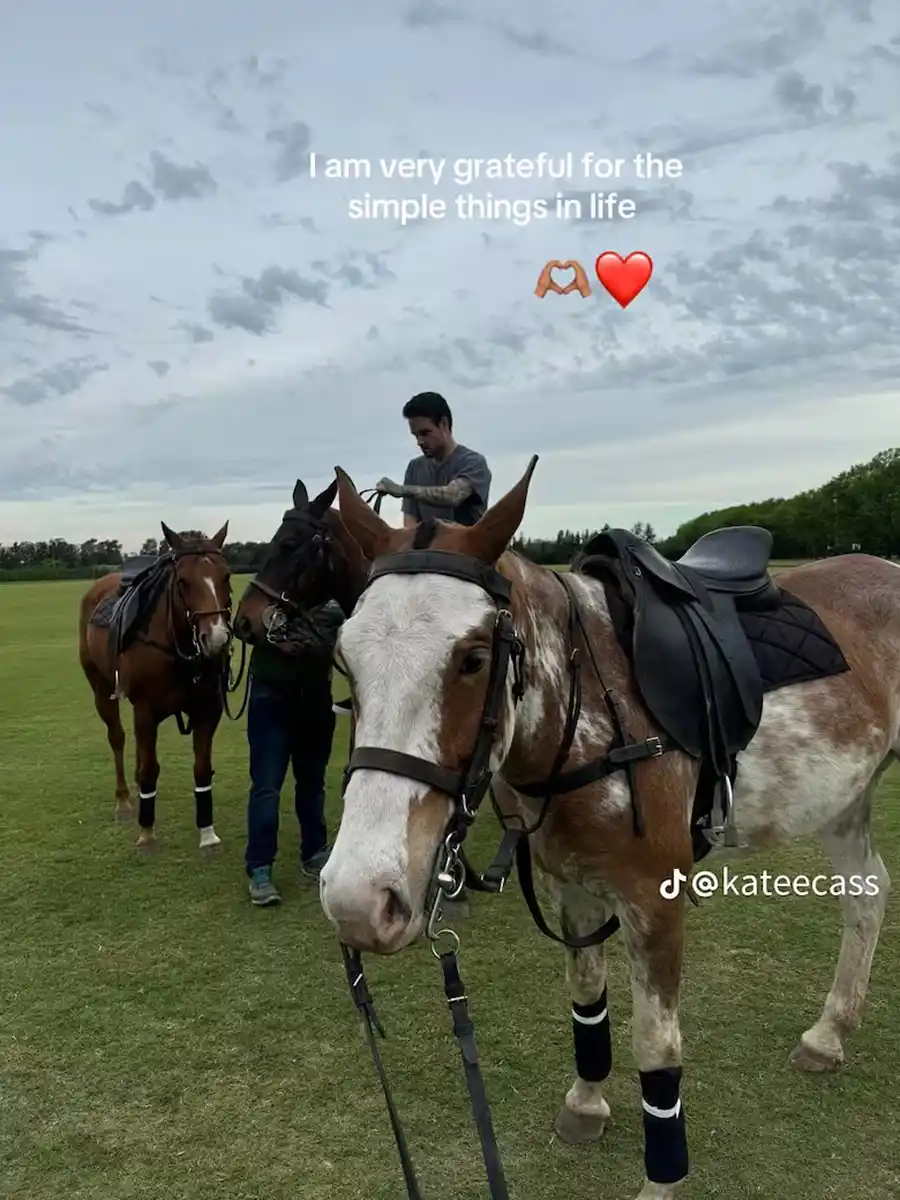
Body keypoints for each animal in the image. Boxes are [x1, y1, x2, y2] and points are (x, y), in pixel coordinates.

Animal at [79, 522, 233, 856]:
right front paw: (146, 833)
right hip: (101, 688)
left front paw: (208, 835)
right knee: (118, 738)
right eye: (183, 581)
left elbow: (202, 769)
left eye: (226, 576)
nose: (216, 638)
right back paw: (124, 801)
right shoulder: (146, 710)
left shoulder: (208, 710)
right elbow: (151, 769)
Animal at [319, 459, 899, 1200]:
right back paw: (828, 1033)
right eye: (345, 658)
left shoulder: (656, 897)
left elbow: (658, 1047)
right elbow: (587, 998)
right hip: (845, 794)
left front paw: (661, 1180)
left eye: (473, 658)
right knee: (867, 891)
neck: (584, 712)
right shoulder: (572, 886)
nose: (357, 901)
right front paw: (587, 1102)